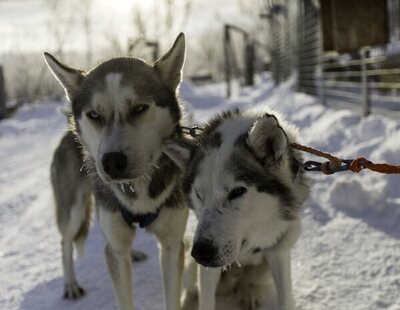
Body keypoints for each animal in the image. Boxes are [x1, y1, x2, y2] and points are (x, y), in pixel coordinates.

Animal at [45, 34, 189, 310]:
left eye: (140, 108)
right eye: (93, 115)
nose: (111, 162)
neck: (138, 188)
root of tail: (68, 131)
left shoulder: (172, 244)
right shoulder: (115, 249)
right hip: (74, 208)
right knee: (66, 241)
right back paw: (70, 284)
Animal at [164, 109, 310, 310]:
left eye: (237, 192)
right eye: (199, 194)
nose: (200, 253)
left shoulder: (278, 251)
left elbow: (286, 300)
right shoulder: (207, 269)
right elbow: (205, 301)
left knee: (247, 283)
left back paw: (249, 294)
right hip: (191, 269)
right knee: (193, 290)